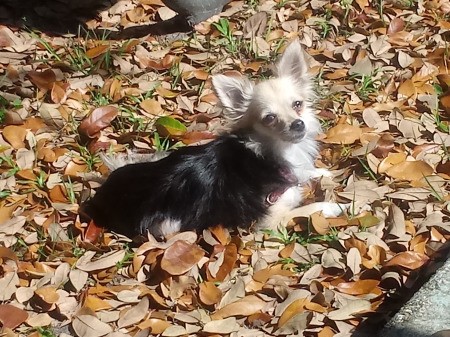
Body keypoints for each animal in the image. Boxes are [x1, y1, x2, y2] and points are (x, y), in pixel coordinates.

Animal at [81, 39, 342, 238]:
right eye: (269, 118)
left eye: (297, 104)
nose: (298, 124)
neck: (270, 150)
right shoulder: (272, 218)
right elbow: (308, 209)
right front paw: (333, 206)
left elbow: (307, 173)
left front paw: (322, 173)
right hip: (168, 225)